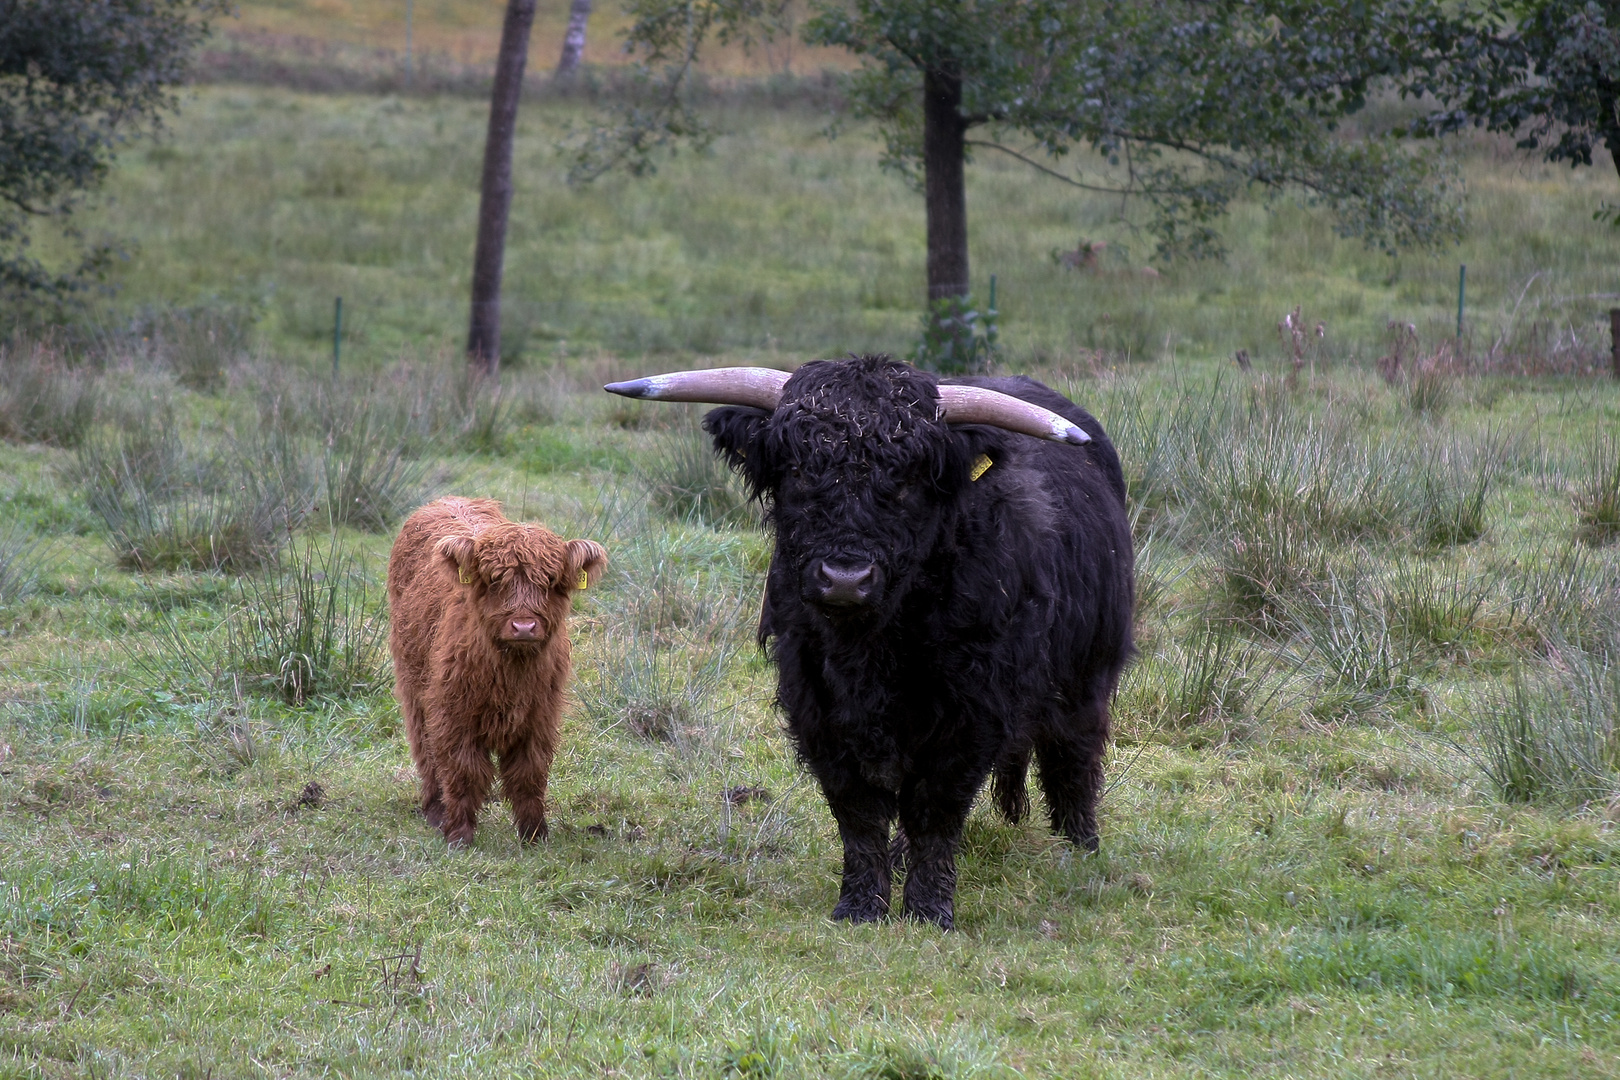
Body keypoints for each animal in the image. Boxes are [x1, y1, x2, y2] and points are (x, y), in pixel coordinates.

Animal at [385, 495, 609, 841]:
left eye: (550, 581)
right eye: (494, 580)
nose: (524, 626)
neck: (511, 674)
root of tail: (448, 499)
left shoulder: (540, 717)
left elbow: (529, 775)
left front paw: (534, 834)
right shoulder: (453, 715)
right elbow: (463, 771)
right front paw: (459, 834)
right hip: (413, 684)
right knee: (424, 745)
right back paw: (434, 808)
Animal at [602, 356, 1134, 932]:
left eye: (906, 481)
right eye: (798, 471)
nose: (844, 579)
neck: (872, 651)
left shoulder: (975, 709)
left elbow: (937, 807)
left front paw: (928, 911)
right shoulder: (813, 699)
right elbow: (856, 809)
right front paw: (860, 906)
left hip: (1088, 671)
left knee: (1073, 752)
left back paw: (1079, 844)